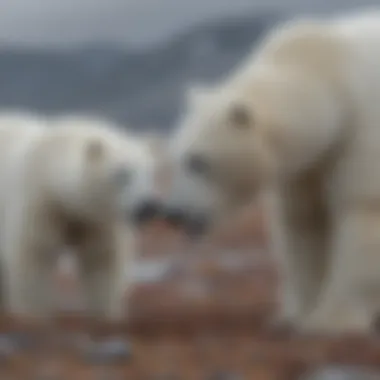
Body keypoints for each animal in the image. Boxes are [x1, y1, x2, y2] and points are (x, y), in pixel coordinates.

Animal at [0, 111, 154, 320]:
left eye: (149, 174)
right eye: (123, 174)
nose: (147, 206)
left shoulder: (97, 220)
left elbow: (102, 259)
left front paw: (105, 314)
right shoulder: (39, 202)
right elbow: (35, 255)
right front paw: (35, 314)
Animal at [131, 10, 380, 334]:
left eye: (198, 161)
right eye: (175, 157)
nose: (174, 213)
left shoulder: (362, 132)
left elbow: (362, 214)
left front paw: (329, 321)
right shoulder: (307, 166)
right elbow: (304, 223)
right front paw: (293, 316)